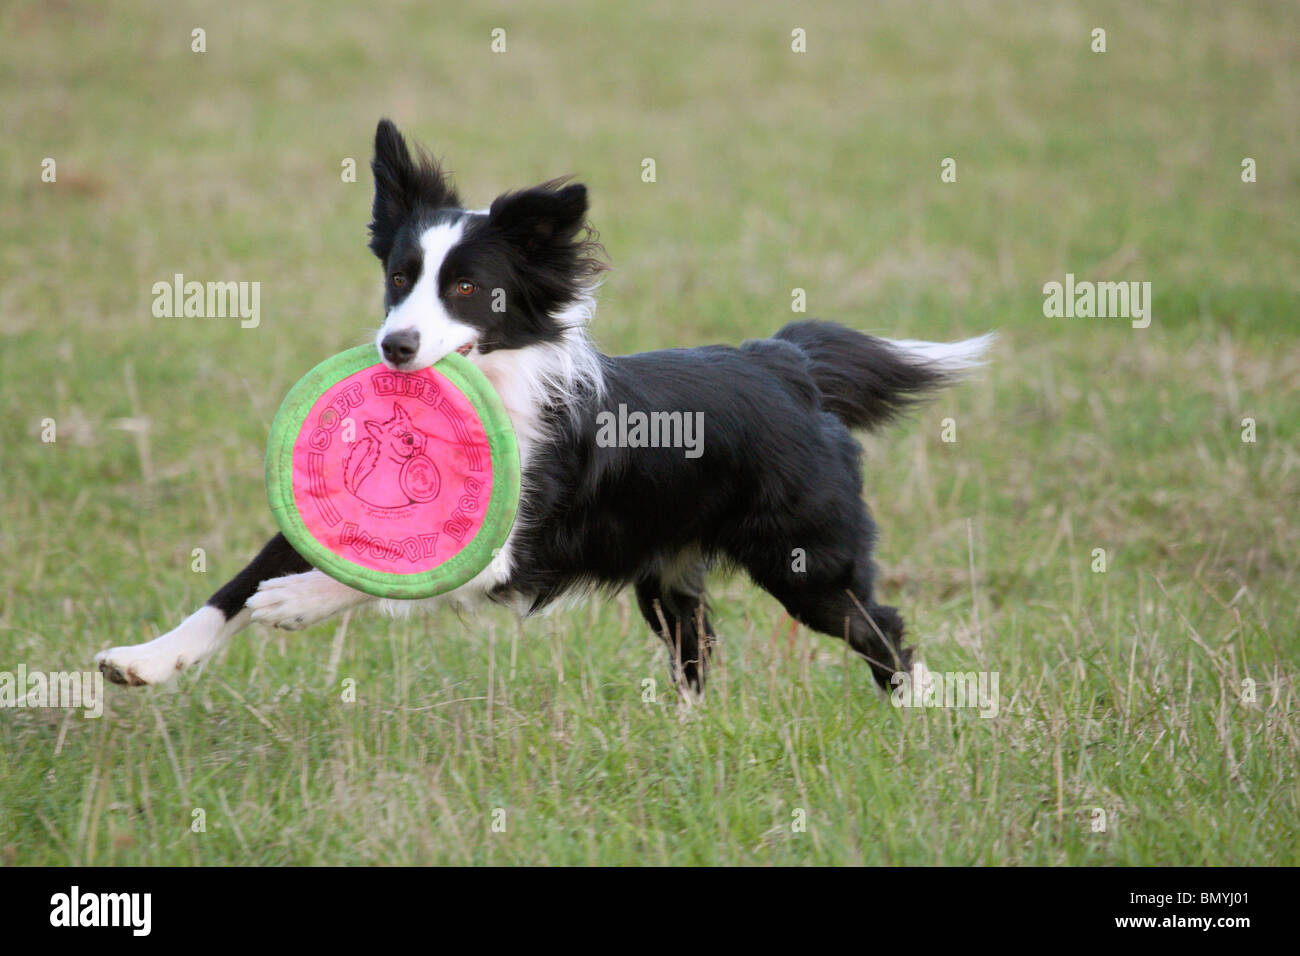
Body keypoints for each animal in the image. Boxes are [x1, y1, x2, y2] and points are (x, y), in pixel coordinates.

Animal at [96, 119, 987, 697]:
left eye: (466, 289)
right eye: (398, 277)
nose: (395, 346)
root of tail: (785, 363)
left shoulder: (507, 550)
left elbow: (379, 581)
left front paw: (294, 602)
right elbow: (233, 586)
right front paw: (144, 660)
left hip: (805, 560)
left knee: (882, 627)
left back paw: (914, 717)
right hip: (667, 569)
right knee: (696, 649)